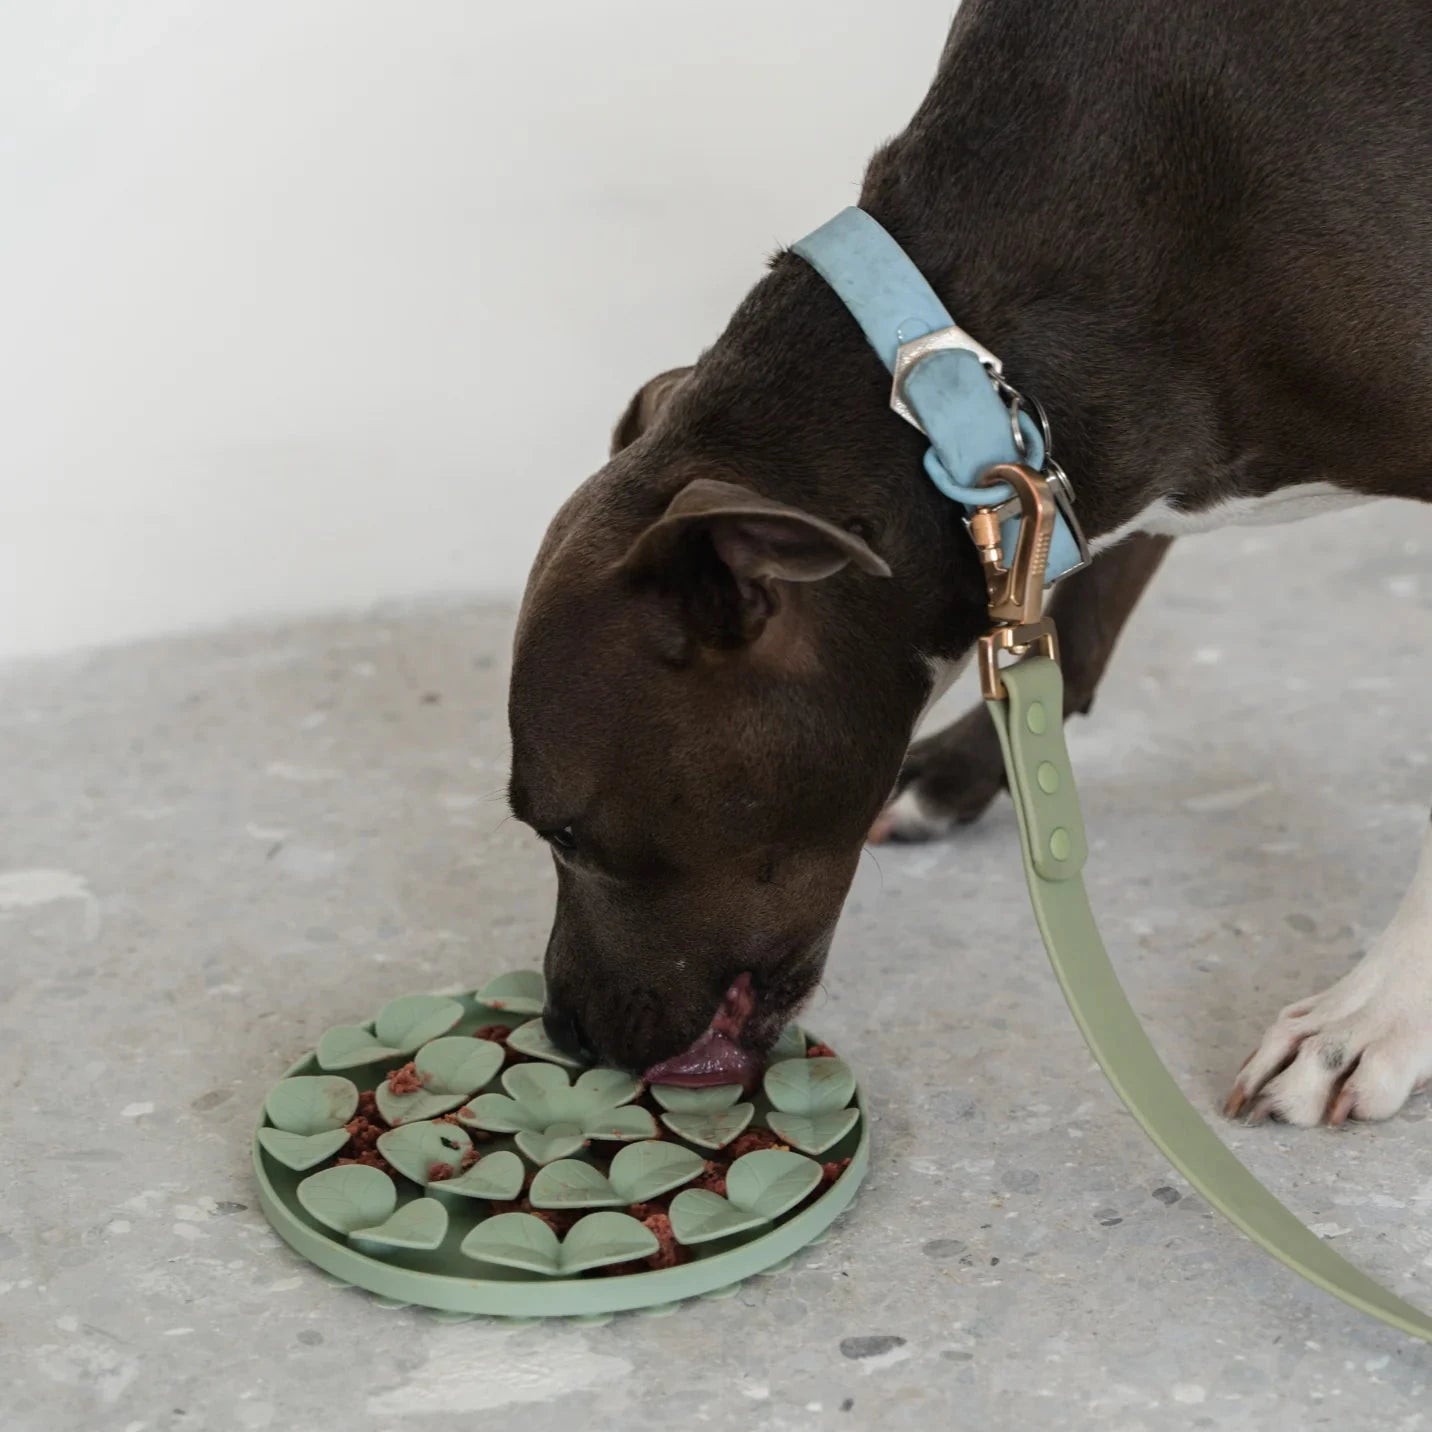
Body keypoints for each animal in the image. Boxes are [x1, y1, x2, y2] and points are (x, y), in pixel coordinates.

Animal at [506, 0, 1432, 1122]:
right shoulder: (1094, 450)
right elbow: (1073, 614)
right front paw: (959, 773)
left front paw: (1371, 1014)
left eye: (563, 833)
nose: (565, 1028)